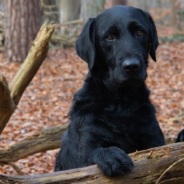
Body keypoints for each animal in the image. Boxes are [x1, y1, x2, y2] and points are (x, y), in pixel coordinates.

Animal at [54, 5, 184, 175]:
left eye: (140, 32)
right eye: (109, 37)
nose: (132, 66)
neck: (122, 104)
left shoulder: (154, 141)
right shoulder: (84, 151)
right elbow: (94, 154)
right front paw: (110, 154)